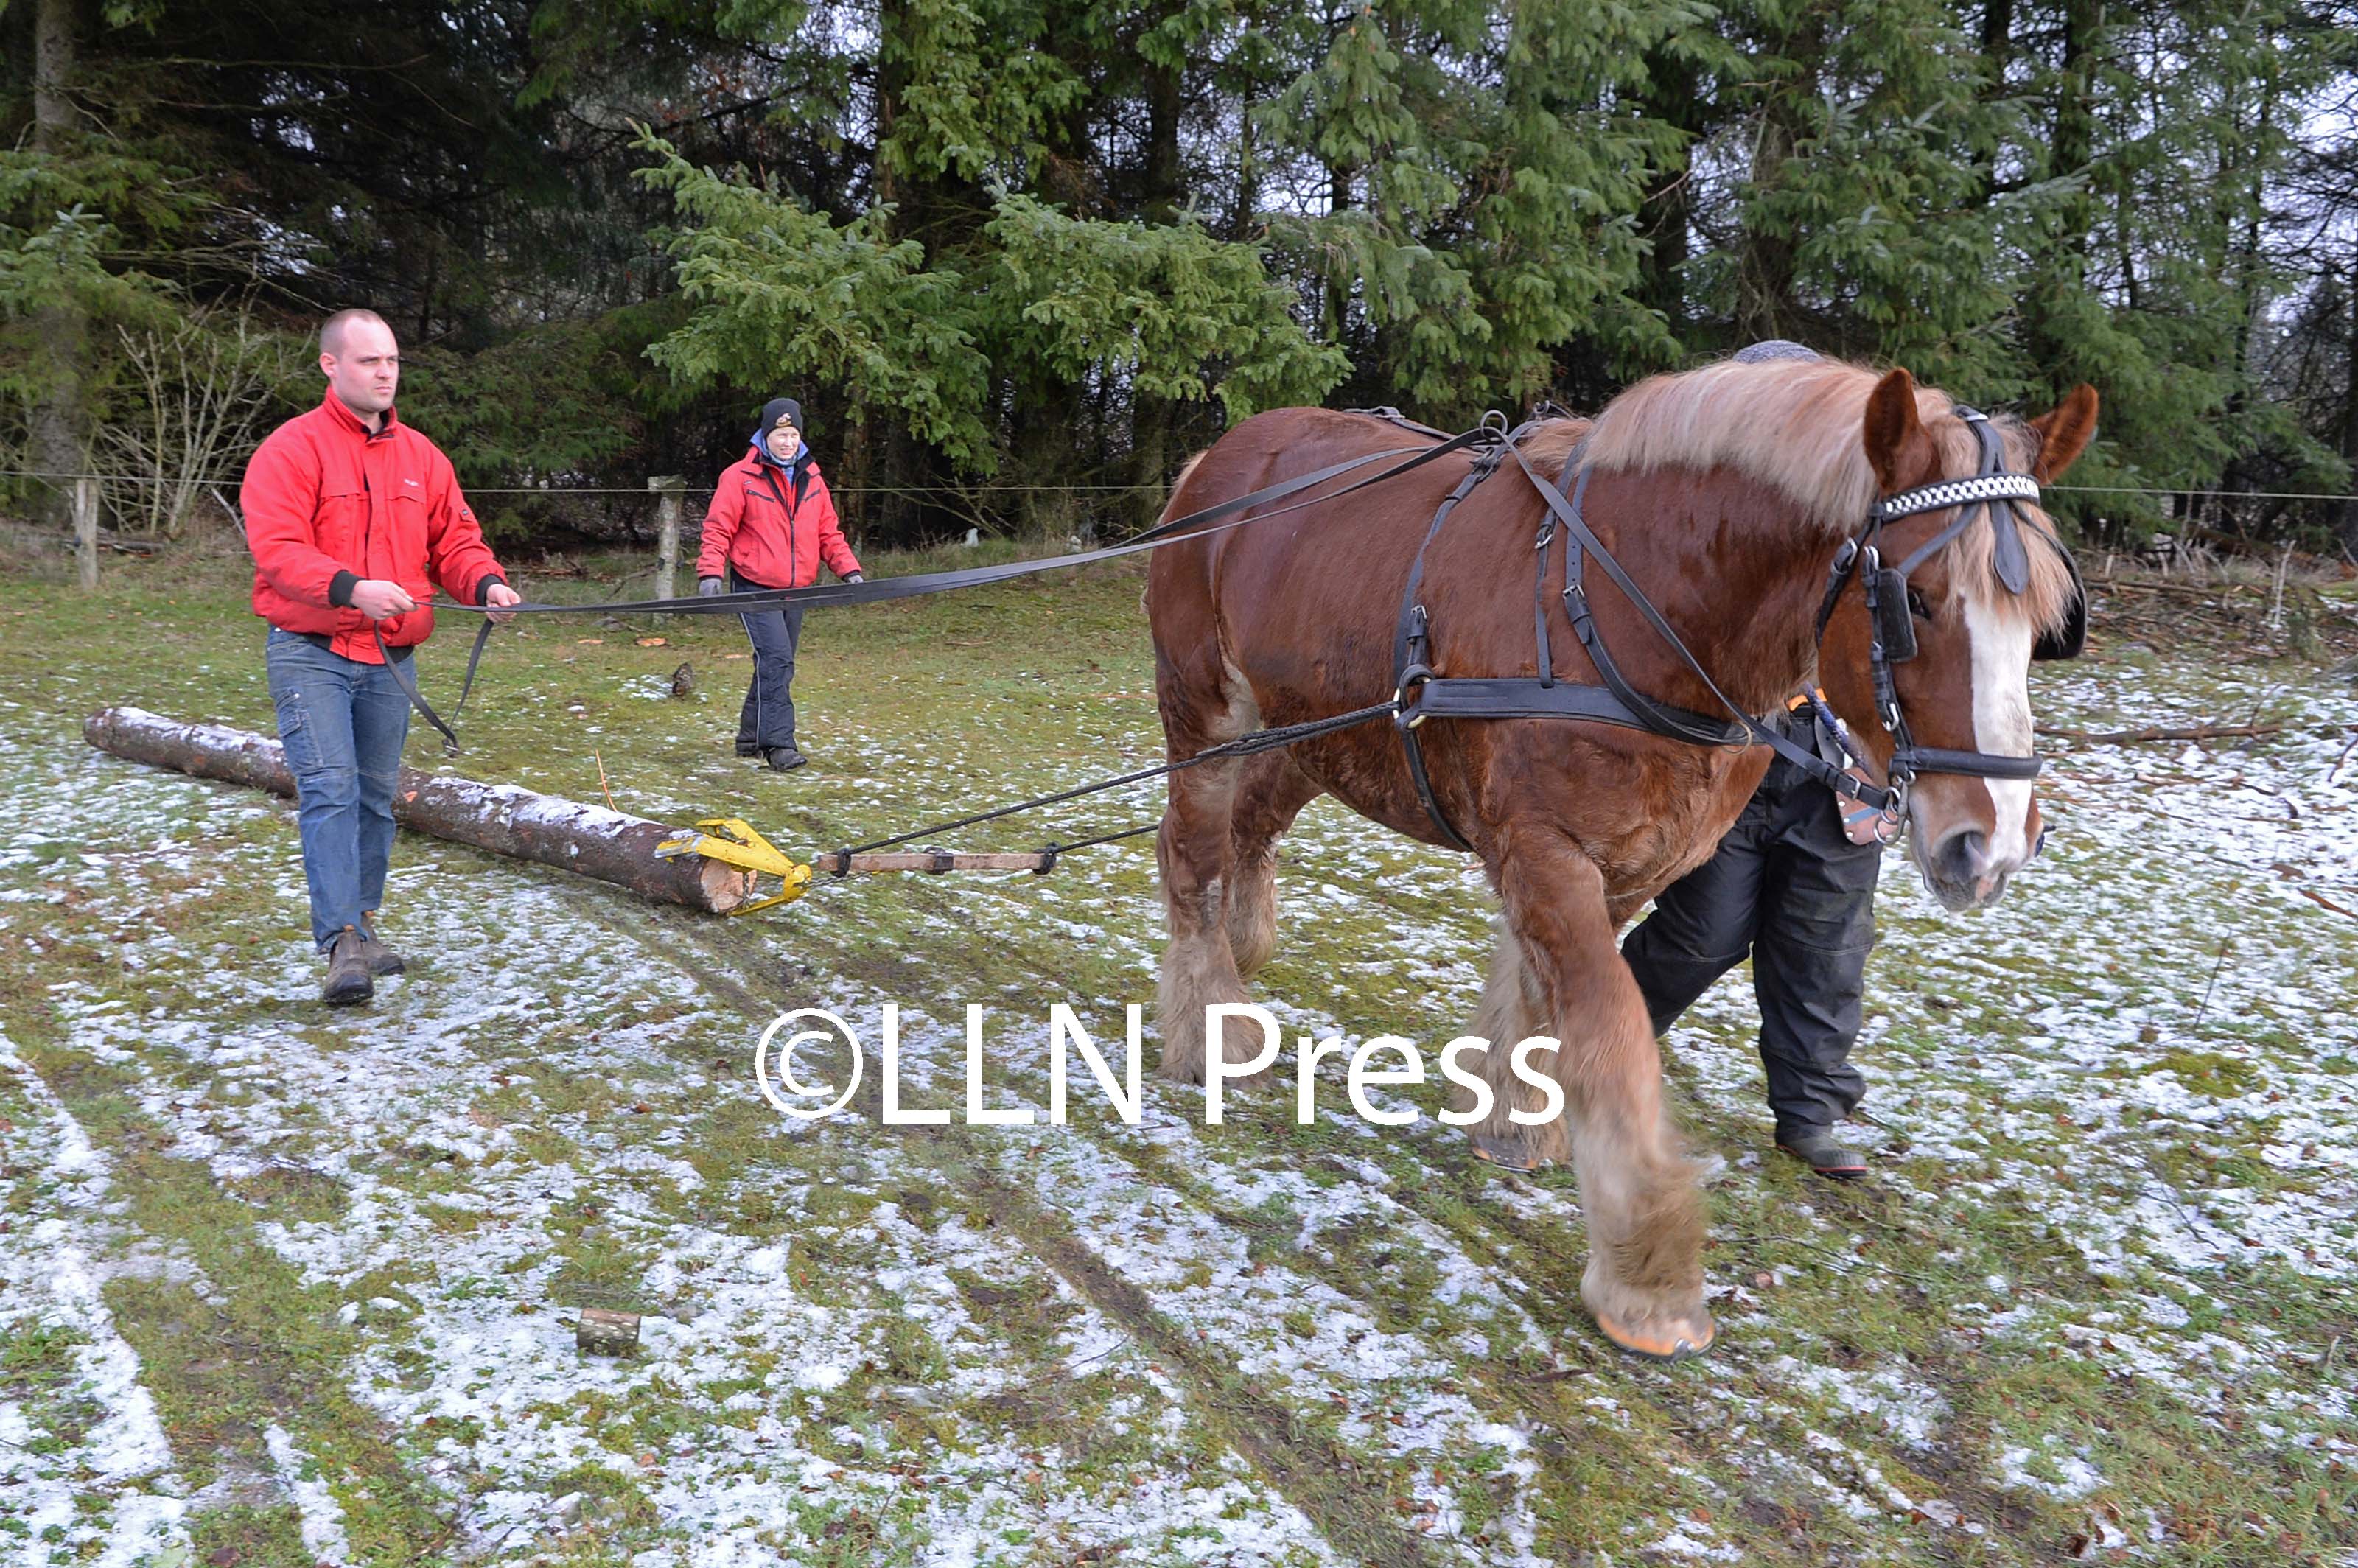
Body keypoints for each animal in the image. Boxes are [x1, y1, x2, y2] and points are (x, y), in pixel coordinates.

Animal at [1146, 358, 2103, 1358]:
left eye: (2045, 619)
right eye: (1912, 603)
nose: (1991, 841)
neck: (1628, 605)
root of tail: (1226, 451)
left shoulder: (1624, 865)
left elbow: (1547, 1005)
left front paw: (1513, 1121)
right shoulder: (1544, 849)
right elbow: (1611, 1033)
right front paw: (1649, 1274)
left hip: (1321, 729)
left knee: (1251, 824)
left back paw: (1242, 951)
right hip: (1203, 710)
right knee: (1192, 854)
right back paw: (1211, 1026)